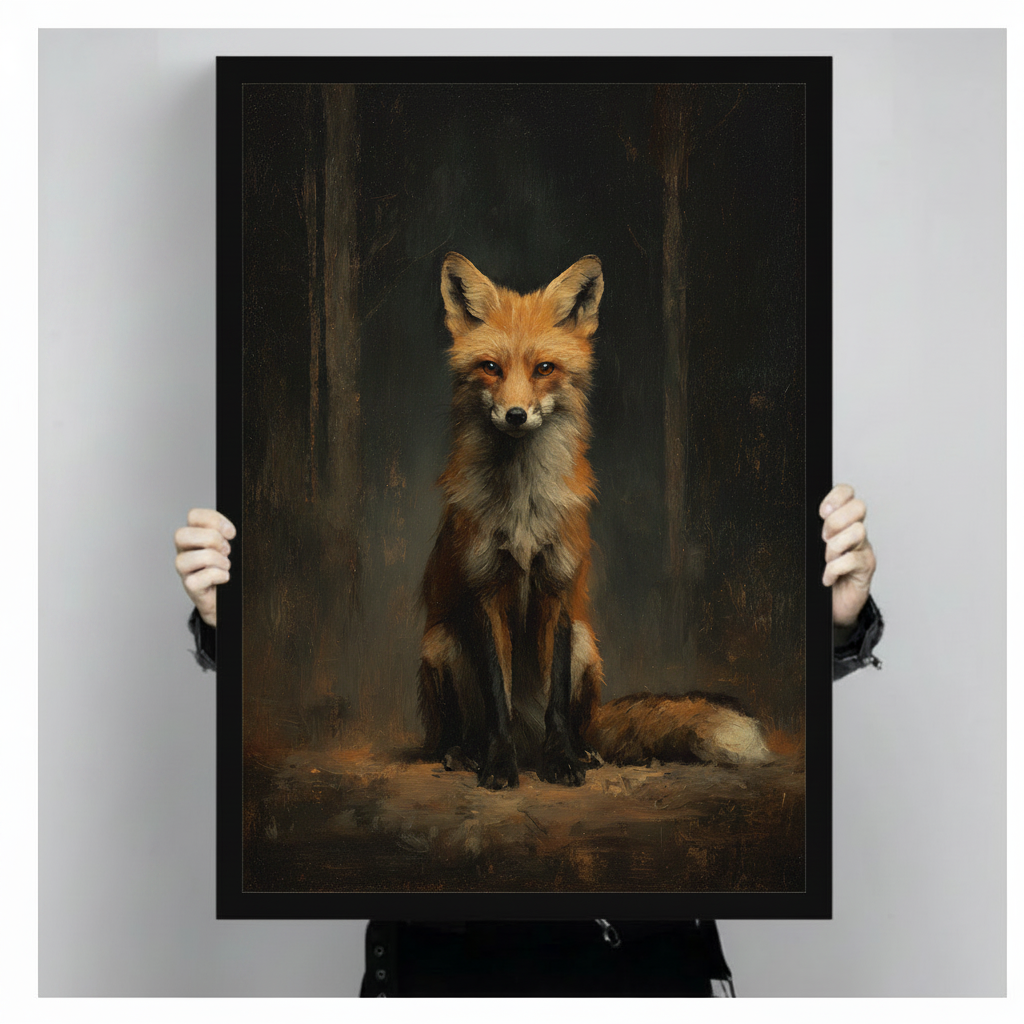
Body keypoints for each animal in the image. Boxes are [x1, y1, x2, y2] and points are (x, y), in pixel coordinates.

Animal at [417, 253, 772, 790]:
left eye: (544, 368)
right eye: (491, 368)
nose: (515, 415)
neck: (523, 505)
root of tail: (528, 738)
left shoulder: (560, 588)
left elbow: (558, 702)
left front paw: (563, 762)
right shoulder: (485, 590)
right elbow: (497, 699)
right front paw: (498, 766)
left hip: (588, 643)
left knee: (578, 722)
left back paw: (581, 751)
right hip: (441, 643)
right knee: (463, 729)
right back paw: (465, 752)